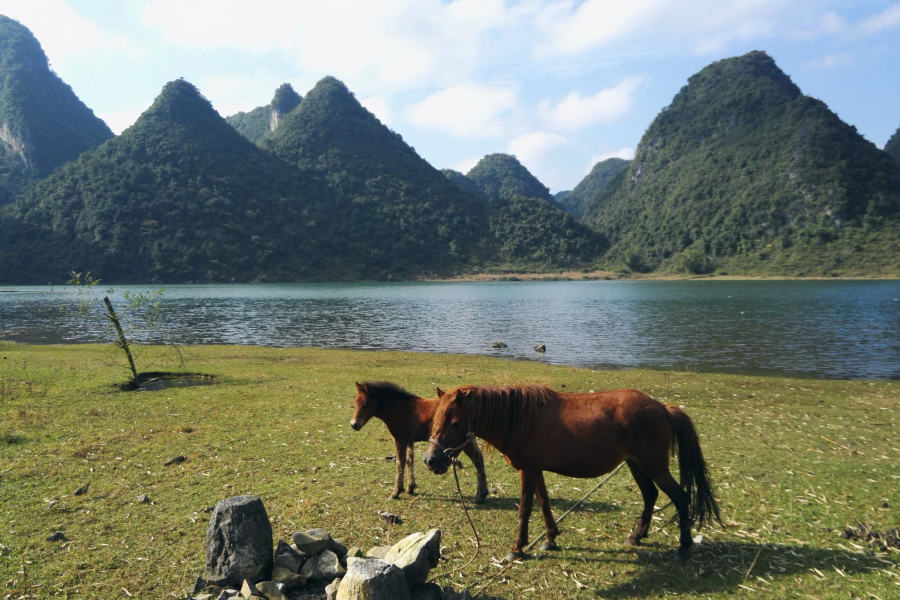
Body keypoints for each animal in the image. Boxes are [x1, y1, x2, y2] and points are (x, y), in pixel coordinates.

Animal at [354, 382, 492, 504]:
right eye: (356, 402)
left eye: (366, 404)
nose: (354, 424)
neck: (398, 408)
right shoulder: (409, 440)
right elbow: (410, 461)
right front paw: (410, 487)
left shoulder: (400, 439)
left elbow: (400, 463)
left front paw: (396, 492)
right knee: (479, 458)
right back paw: (482, 494)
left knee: (477, 459)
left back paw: (480, 495)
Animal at [424, 384, 724, 564]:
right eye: (436, 419)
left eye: (455, 423)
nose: (431, 460)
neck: (519, 420)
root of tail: (661, 407)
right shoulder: (536, 470)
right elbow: (544, 503)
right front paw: (550, 539)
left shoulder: (527, 470)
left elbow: (525, 509)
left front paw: (517, 549)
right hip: (636, 464)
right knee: (650, 495)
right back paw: (637, 536)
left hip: (653, 465)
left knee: (680, 497)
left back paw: (683, 547)